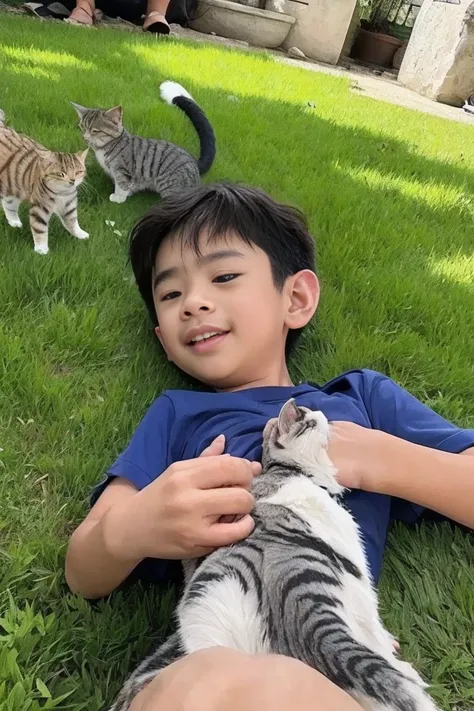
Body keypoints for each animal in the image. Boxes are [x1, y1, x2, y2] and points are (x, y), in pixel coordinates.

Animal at [0, 108, 89, 256]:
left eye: (78, 172)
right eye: (61, 173)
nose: (72, 181)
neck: (62, 193)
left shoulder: (69, 206)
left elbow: (72, 222)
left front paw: (80, 234)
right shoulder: (39, 208)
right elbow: (40, 229)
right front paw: (41, 249)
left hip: (12, 186)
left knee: (8, 204)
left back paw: (14, 222)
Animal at [71, 81, 216, 204]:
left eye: (95, 131)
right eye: (82, 128)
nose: (85, 137)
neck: (104, 149)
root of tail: (195, 164)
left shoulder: (123, 171)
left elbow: (122, 185)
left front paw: (118, 198)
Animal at [109, 400, 438, 711]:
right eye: (307, 418)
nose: (322, 413)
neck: (288, 472)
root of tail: (302, 617)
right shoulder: (355, 566)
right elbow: (372, 623)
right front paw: (392, 651)